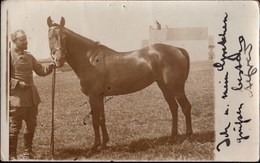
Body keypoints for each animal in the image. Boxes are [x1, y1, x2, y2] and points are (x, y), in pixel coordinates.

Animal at [47, 16, 193, 150]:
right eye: (49, 37)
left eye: (64, 38)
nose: (59, 60)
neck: (90, 60)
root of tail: (178, 49)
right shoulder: (100, 97)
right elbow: (102, 119)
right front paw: (105, 143)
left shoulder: (93, 97)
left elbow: (95, 121)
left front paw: (96, 145)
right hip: (164, 86)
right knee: (173, 107)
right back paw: (172, 136)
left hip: (176, 88)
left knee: (186, 107)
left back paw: (188, 136)